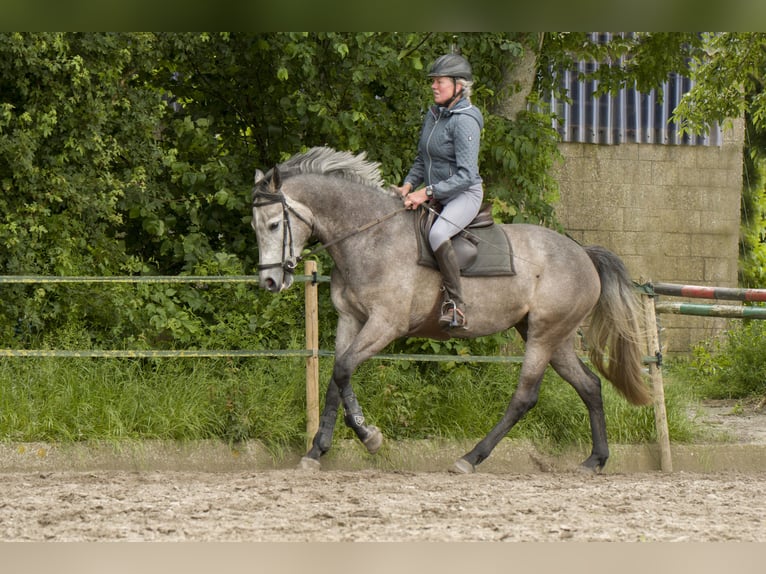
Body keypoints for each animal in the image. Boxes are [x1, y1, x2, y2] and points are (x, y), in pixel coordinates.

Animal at [254, 146, 656, 474]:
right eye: (256, 227)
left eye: (274, 224)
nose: (270, 282)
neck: (368, 235)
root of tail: (583, 253)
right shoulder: (351, 320)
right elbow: (337, 379)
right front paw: (316, 452)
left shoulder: (386, 324)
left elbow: (342, 370)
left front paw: (370, 436)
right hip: (550, 336)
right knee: (589, 386)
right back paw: (595, 460)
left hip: (544, 334)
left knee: (525, 397)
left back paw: (469, 458)